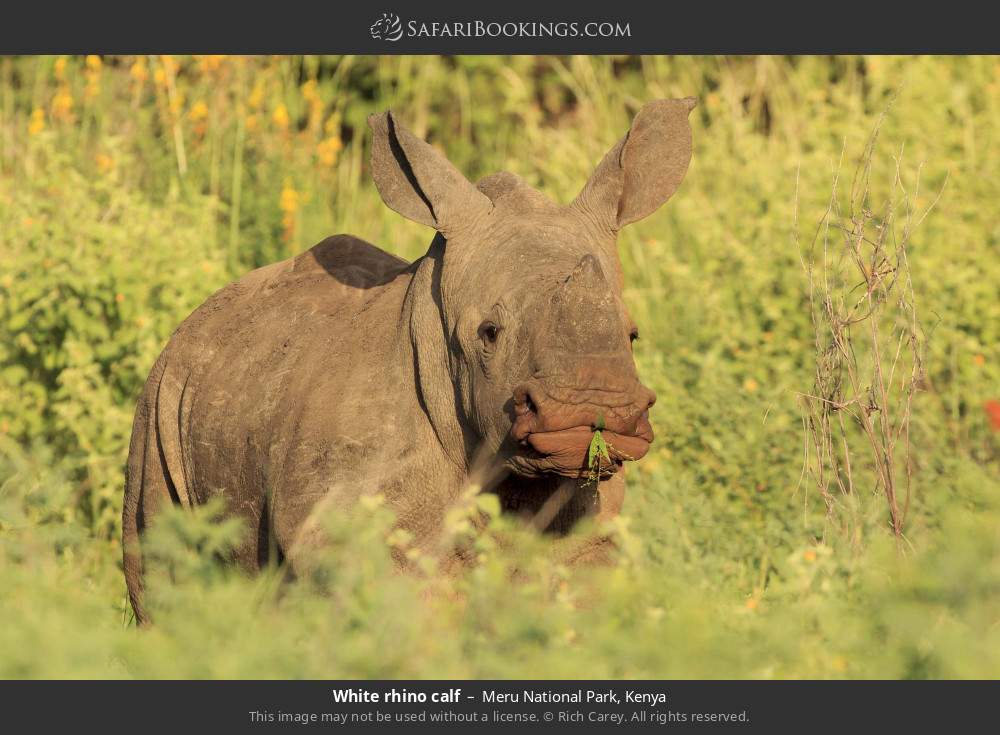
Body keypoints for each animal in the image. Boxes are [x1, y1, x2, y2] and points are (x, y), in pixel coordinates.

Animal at [121, 98, 692, 620]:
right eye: (489, 333)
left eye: (633, 335)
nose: (594, 407)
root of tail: (193, 320)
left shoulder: (585, 525)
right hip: (162, 399)